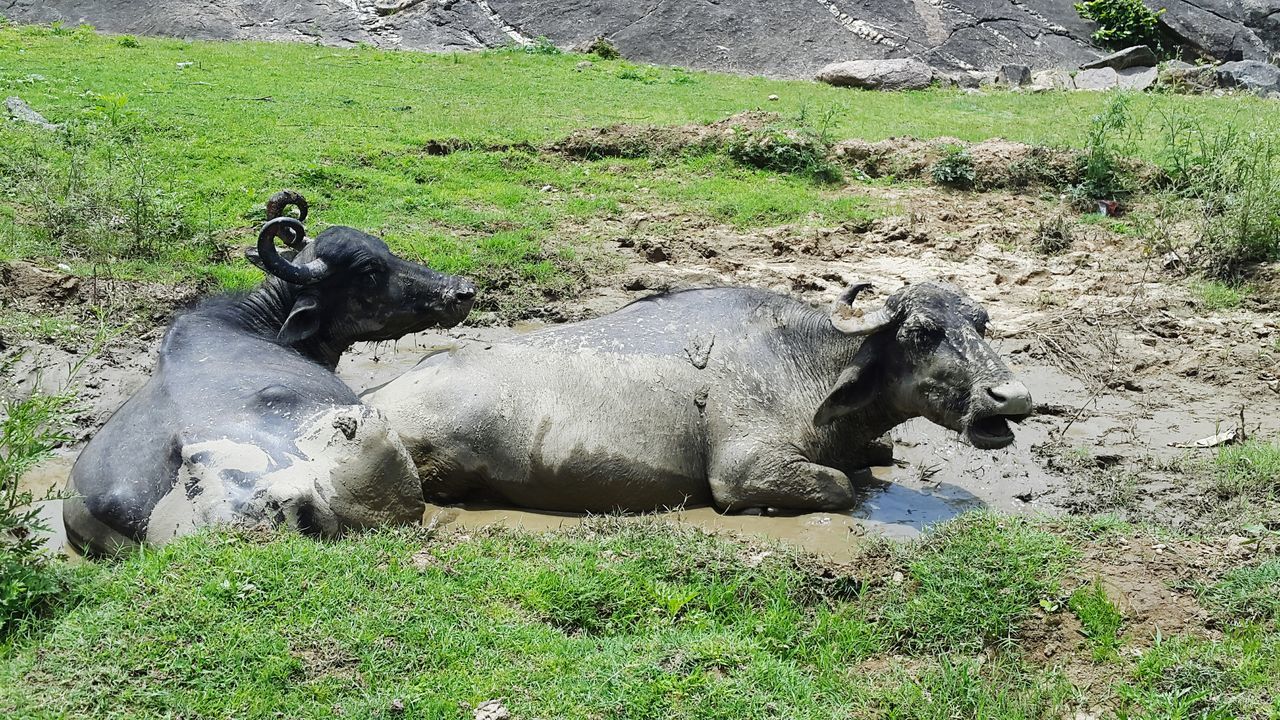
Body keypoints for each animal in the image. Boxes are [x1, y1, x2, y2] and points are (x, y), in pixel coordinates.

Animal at [366, 279, 1034, 509]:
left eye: (981, 322)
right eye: (921, 332)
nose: (1012, 397)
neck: (802, 363)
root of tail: (378, 395)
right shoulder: (743, 469)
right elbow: (842, 488)